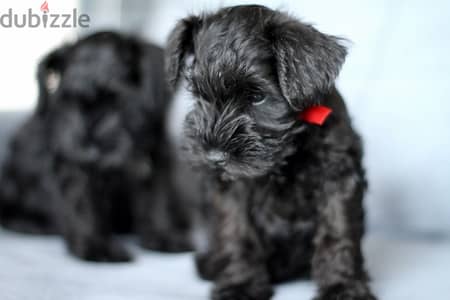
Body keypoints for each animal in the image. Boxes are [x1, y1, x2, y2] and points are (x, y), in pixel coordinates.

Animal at [0, 31, 191, 262]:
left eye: (117, 98)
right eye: (69, 98)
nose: (89, 138)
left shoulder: (155, 165)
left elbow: (157, 204)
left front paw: (163, 237)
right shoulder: (75, 170)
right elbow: (84, 208)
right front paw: (98, 247)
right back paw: (33, 224)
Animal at [167, 5, 378, 300]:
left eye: (257, 97)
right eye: (201, 96)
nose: (214, 158)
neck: (284, 155)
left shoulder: (337, 178)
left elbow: (338, 232)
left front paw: (343, 287)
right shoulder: (232, 191)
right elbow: (236, 233)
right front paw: (240, 284)